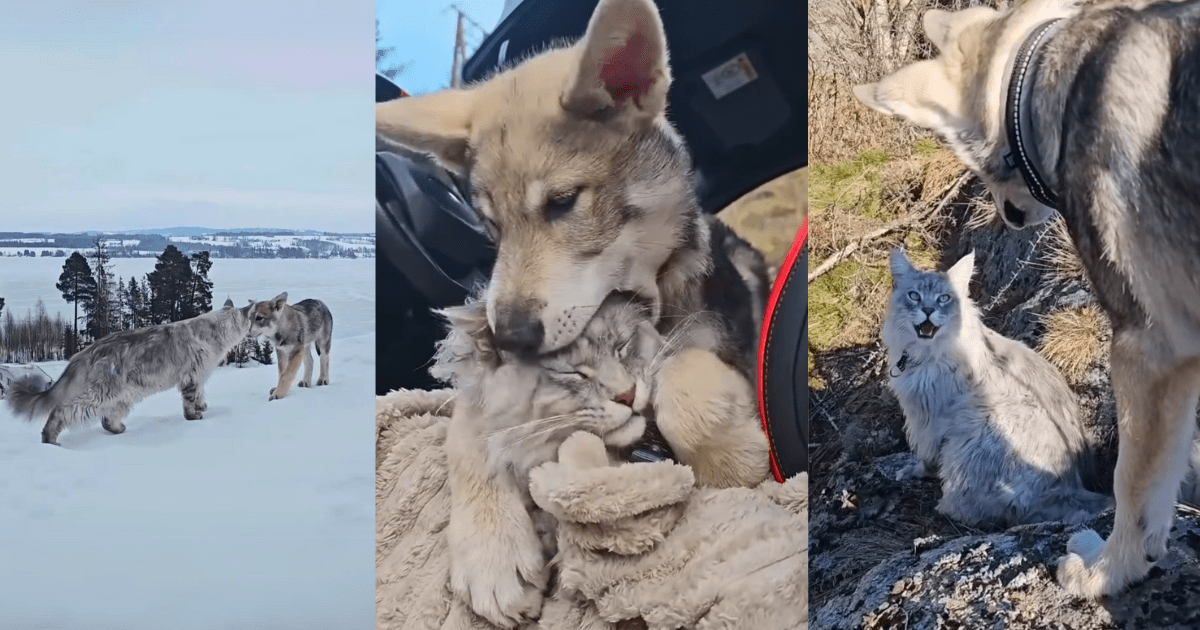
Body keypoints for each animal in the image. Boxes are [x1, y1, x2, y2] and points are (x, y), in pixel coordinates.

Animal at [8, 297, 259, 444]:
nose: (254, 328)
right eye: (252, 319)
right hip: (100, 393)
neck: (214, 333)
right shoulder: (191, 375)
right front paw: (195, 416)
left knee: (106, 420)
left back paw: (119, 430)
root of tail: (86, 351)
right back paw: (50, 440)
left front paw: (202, 406)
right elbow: (189, 402)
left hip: (124, 395)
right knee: (62, 411)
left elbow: (199, 395)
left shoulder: (198, 376)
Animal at [432, 292, 768, 624]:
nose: (627, 395)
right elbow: (472, 447)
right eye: (573, 372)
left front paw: (743, 465)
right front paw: (495, 571)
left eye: (622, 346)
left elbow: (679, 375)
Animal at [878, 248, 1108, 528]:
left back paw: (950, 507)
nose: (929, 310)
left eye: (944, 298)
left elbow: (926, 453)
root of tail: (1070, 487)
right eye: (914, 296)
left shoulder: (929, 416)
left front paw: (915, 471)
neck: (922, 353)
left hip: (976, 432)